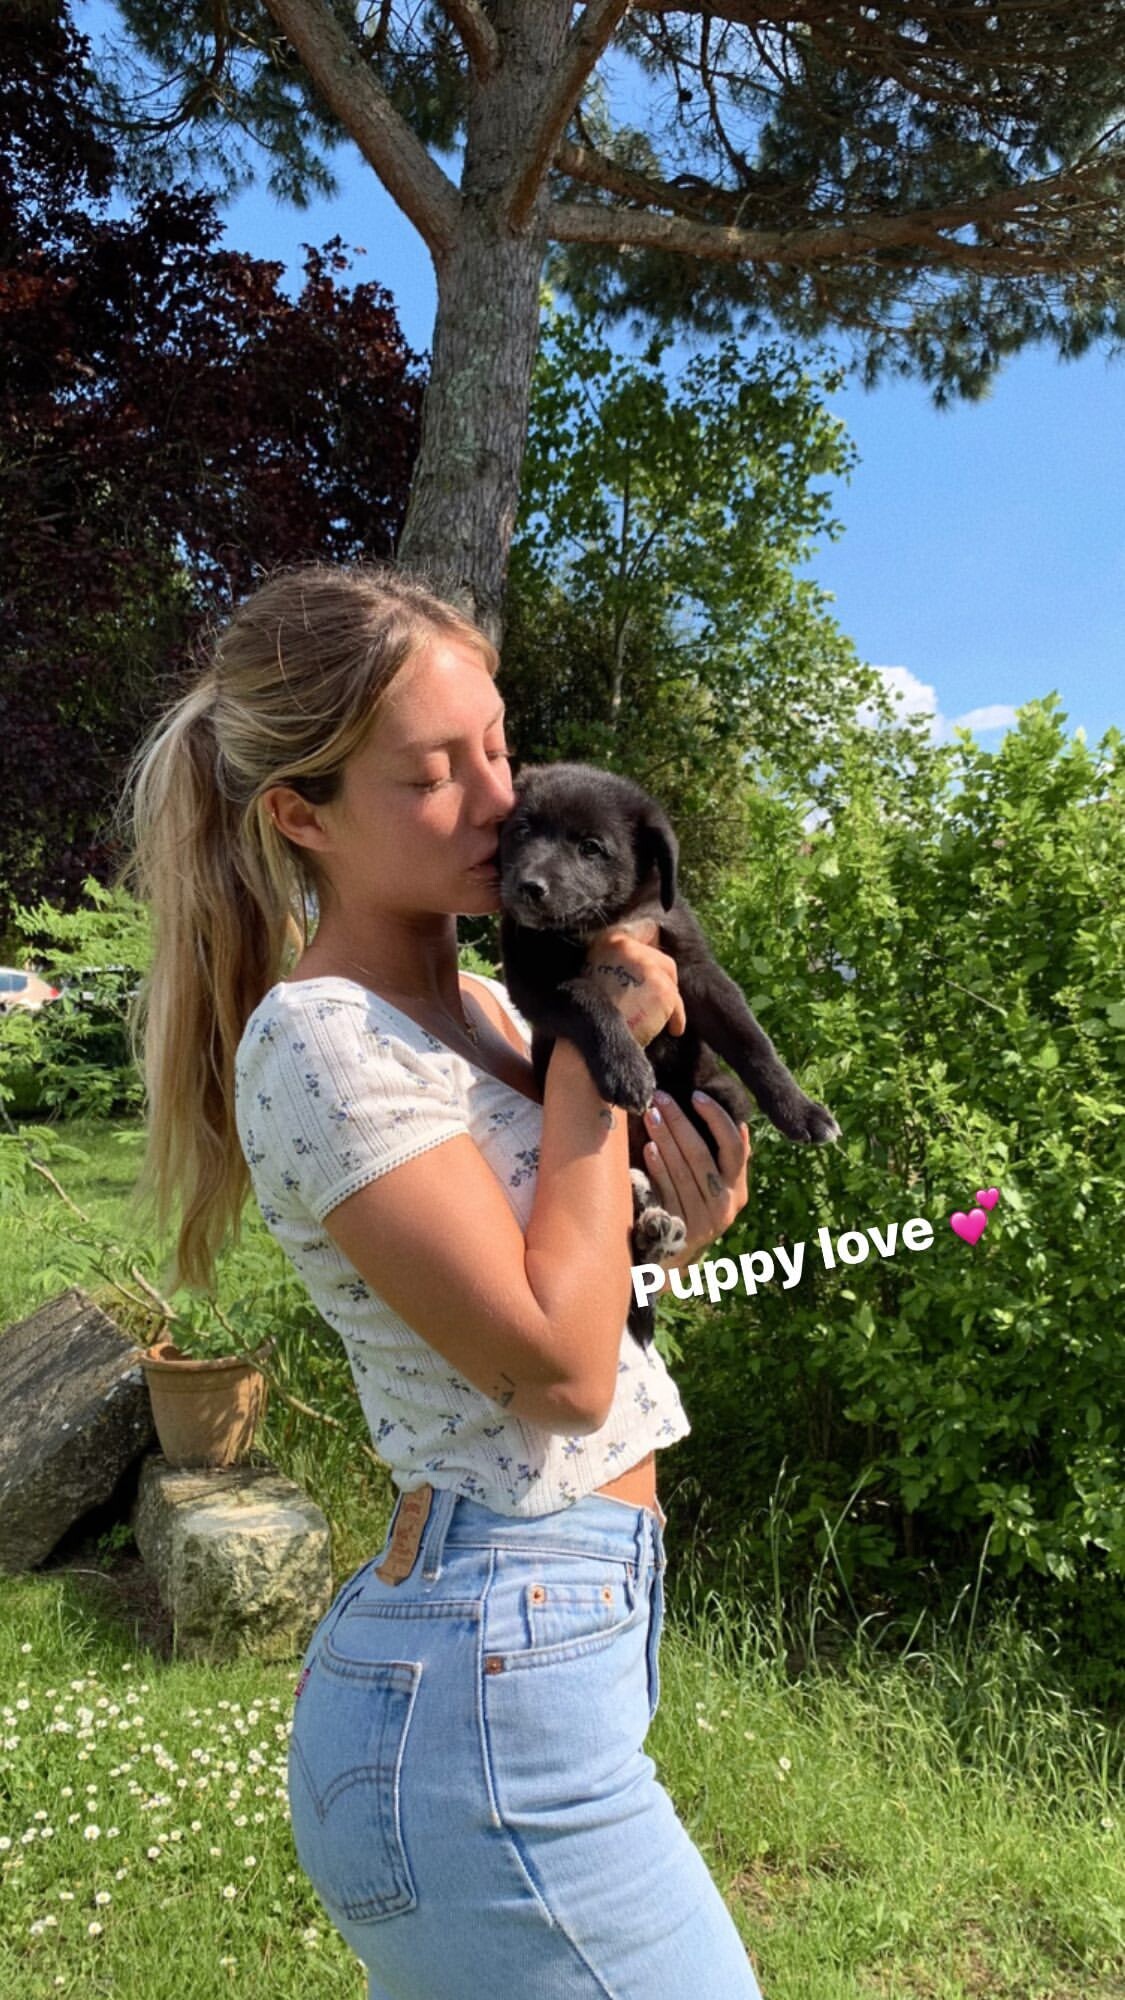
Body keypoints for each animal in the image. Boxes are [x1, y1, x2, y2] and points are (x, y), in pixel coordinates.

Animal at [496, 762, 841, 1347]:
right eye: (521, 830)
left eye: (591, 847)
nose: (527, 887)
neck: (603, 920)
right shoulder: (531, 977)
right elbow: (590, 997)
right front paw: (627, 1067)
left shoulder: (694, 970)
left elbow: (752, 1040)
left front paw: (803, 1111)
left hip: (718, 1096)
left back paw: (653, 1227)